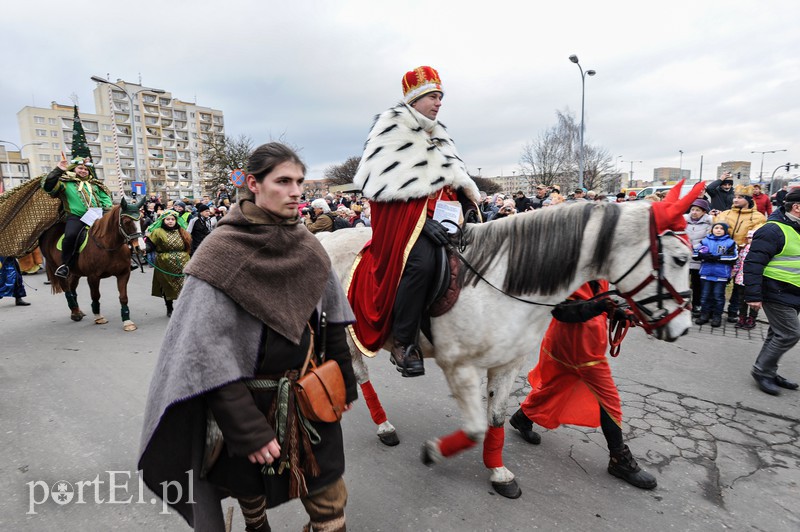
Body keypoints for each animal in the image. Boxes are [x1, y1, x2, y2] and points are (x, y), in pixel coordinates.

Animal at [39, 197, 145, 330]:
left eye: (142, 220)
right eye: (126, 221)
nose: (140, 248)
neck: (107, 246)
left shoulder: (123, 274)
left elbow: (123, 297)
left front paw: (127, 321)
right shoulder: (93, 277)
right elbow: (95, 295)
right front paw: (98, 317)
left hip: (75, 272)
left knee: (72, 288)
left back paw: (77, 310)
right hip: (56, 268)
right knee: (67, 289)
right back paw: (75, 313)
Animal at [316, 183, 704, 498]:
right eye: (680, 258)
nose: (683, 326)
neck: (501, 282)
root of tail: (325, 239)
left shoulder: (507, 363)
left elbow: (497, 418)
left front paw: (498, 472)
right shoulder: (459, 367)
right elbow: (474, 428)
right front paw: (435, 452)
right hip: (350, 335)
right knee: (360, 375)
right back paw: (382, 425)